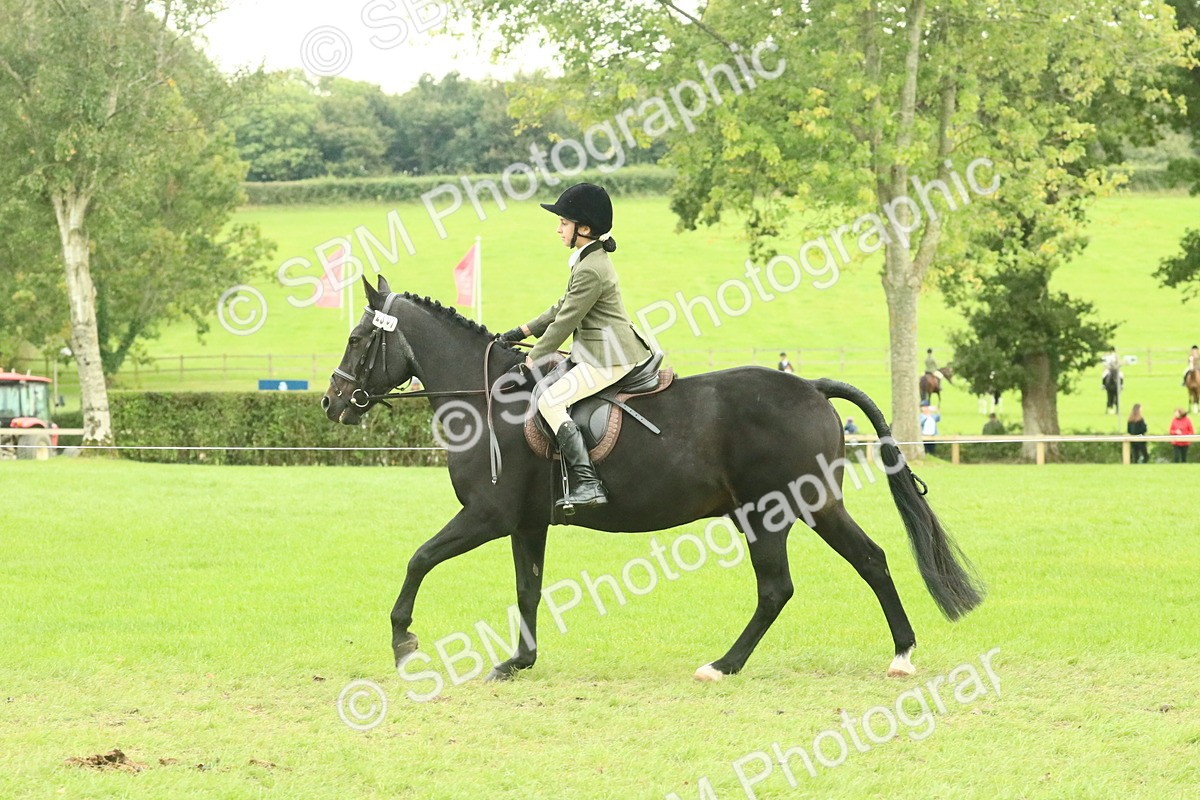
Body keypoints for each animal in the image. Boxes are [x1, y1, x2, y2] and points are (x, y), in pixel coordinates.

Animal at [321, 276, 984, 684]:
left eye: (357, 339)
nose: (332, 403)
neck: (488, 401)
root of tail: (812, 387)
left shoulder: (487, 517)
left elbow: (419, 558)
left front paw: (403, 642)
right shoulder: (527, 523)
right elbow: (527, 589)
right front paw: (519, 662)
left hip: (781, 509)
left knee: (799, 581)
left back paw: (735, 664)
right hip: (788, 509)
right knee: (846, 567)